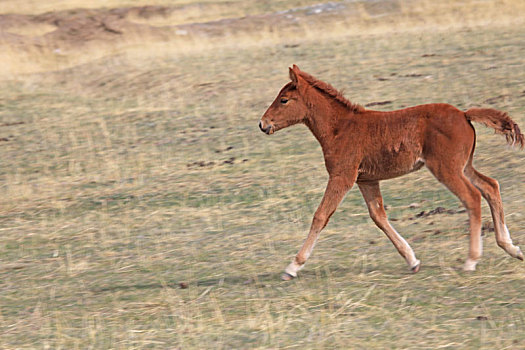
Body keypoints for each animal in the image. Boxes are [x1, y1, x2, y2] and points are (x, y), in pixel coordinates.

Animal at [260, 64, 520, 280]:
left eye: (284, 100)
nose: (263, 124)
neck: (340, 128)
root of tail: (464, 115)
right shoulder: (366, 180)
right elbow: (378, 216)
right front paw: (412, 260)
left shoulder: (342, 177)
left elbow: (321, 215)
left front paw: (292, 267)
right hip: (464, 166)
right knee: (490, 186)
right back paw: (512, 248)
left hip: (446, 168)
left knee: (473, 197)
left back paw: (471, 260)